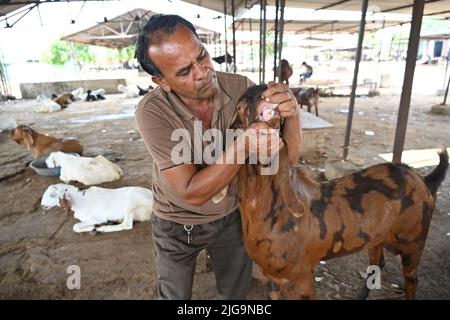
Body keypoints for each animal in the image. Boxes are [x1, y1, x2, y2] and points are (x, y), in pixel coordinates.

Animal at [234, 84, 448, 298]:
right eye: (240, 107)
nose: (263, 87)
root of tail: (425, 180)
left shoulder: (301, 277)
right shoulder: (273, 277)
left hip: (414, 242)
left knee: (411, 278)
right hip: (378, 237)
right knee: (378, 262)